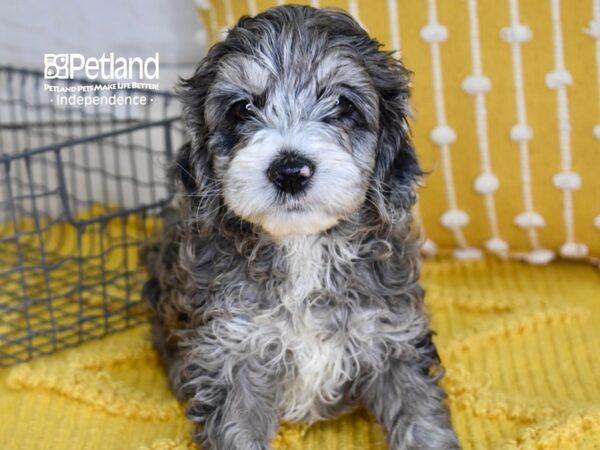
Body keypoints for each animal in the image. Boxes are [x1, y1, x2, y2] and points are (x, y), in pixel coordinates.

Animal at [144, 4, 460, 450]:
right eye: (242, 108)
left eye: (343, 104)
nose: (290, 171)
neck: (303, 247)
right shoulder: (231, 351)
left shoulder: (392, 334)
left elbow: (421, 416)